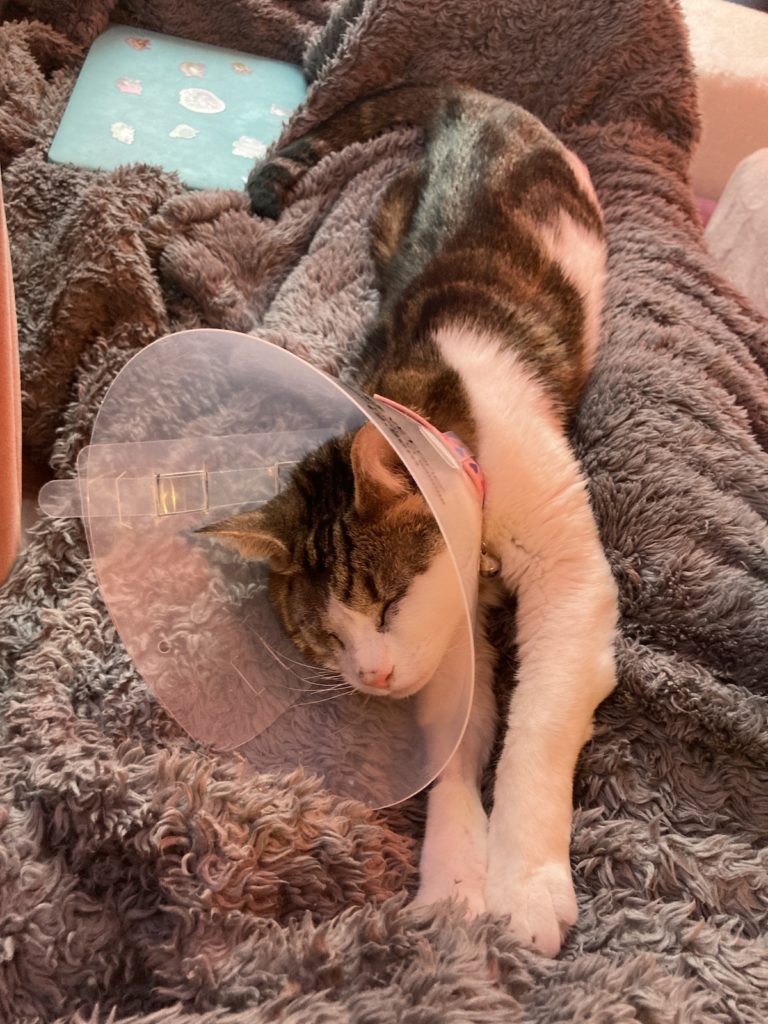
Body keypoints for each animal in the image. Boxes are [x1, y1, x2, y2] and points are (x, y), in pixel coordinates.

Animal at [202, 83, 618, 954]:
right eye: (323, 639)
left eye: (388, 602)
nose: (372, 677)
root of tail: (472, 100)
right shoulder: (449, 633)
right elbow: (457, 739)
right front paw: (456, 875)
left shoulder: (569, 576)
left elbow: (535, 725)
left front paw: (523, 882)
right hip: (385, 220)